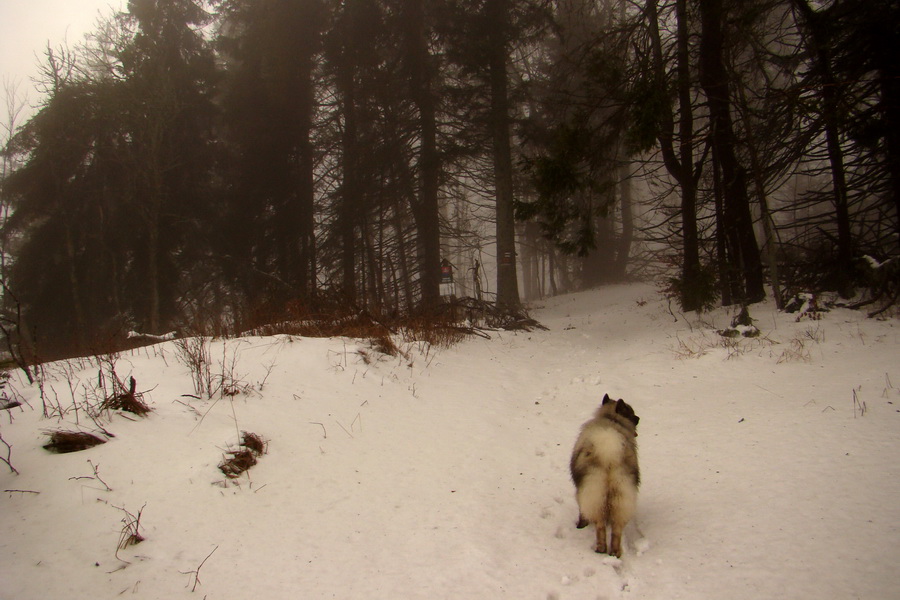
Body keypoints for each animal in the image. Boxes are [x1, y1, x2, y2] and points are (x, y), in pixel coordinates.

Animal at [568, 394, 640, 556]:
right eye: (631, 412)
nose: (638, 418)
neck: (611, 418)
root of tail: (609, 453)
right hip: (620, 496)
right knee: (616, 531)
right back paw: (614, 553)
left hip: (594, 493)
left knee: (600, 525)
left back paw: (600, 548)